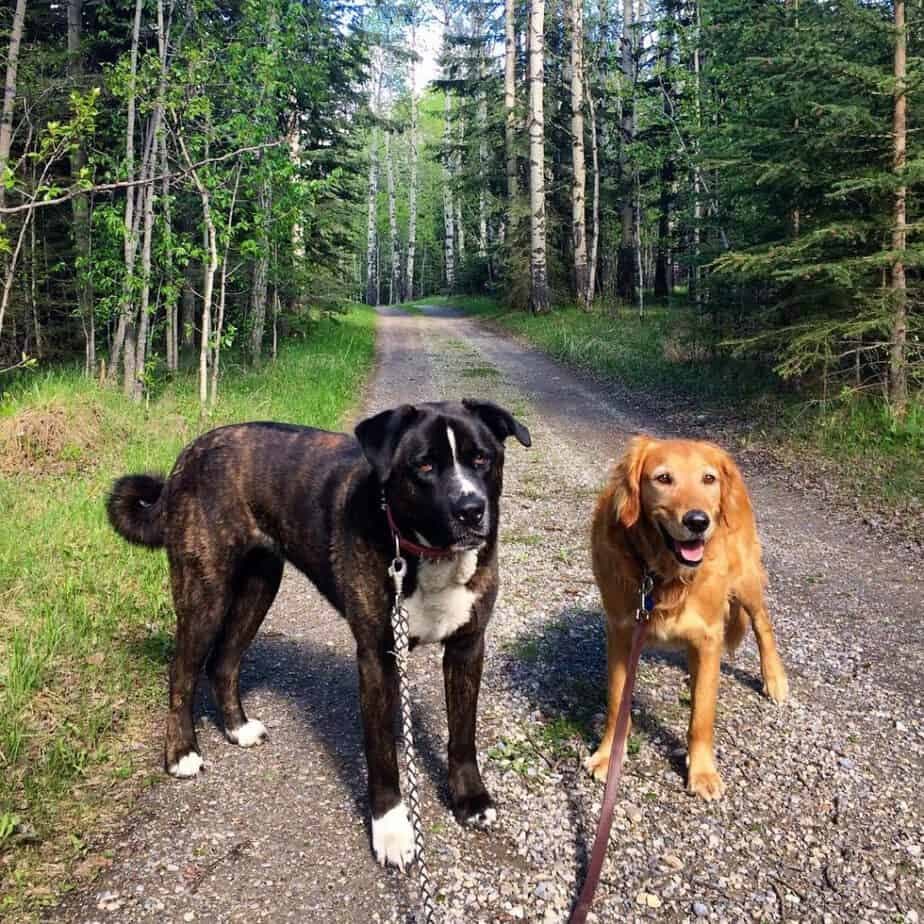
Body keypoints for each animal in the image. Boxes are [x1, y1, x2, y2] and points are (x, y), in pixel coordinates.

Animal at [106, 400, 528, 868]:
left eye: (481, 459)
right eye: (424, 466)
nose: (471, 509)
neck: (426, 554)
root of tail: (190, 452)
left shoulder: (467, 646)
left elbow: (463, 733)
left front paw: (470, 799)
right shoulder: (376, 657)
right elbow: (381, 753)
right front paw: (391, 831)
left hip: (260, 584)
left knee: (224, 662)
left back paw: (237, 728)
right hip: (205, 592)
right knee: (182, 673)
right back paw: (181, 753)